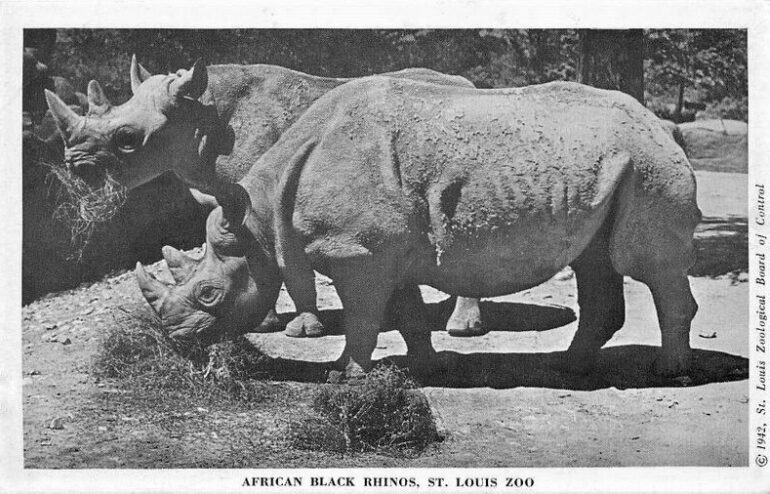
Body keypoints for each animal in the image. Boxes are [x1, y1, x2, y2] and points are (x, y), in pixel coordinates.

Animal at [44, 58, 487, 337]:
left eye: (127, 138)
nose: (75, 165)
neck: (197, 115)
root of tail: (470, 85)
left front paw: (284, 327)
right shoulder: (224, 194)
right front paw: (267, 320)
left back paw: (461, 328)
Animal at [134, 74, 701, 379]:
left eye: (209, 292)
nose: (174, 336)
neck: (259, 221)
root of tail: (663, 125)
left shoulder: (356, 253)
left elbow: (364, 319)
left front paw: (343, 375)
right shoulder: (383, 251)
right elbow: (406, 315)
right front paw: (429, 368)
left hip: (648, 163)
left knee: (651, 265)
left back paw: (669, 371)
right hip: (613, 166)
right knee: (595, 260)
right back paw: (569, 368)